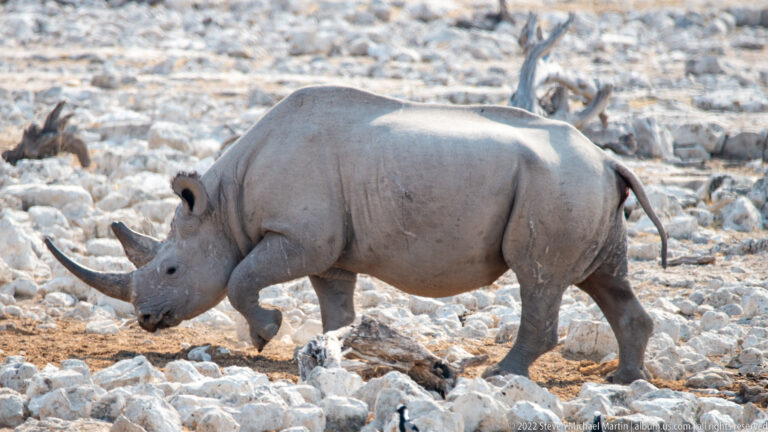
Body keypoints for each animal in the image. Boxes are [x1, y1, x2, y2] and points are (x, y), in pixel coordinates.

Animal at [46, 86, 667, 383]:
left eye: (171, 269)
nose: (146, 320)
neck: (223, 206)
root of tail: (608, 159)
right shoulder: (329, 252)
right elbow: (335, 308)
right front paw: (332, 355)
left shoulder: (300, 238)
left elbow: (242, 277)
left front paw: (266, 336)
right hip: (580, 185)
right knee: (603, 278)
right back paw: (623, 380)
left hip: (558, 185)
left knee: (539, 277)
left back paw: (502, 374)